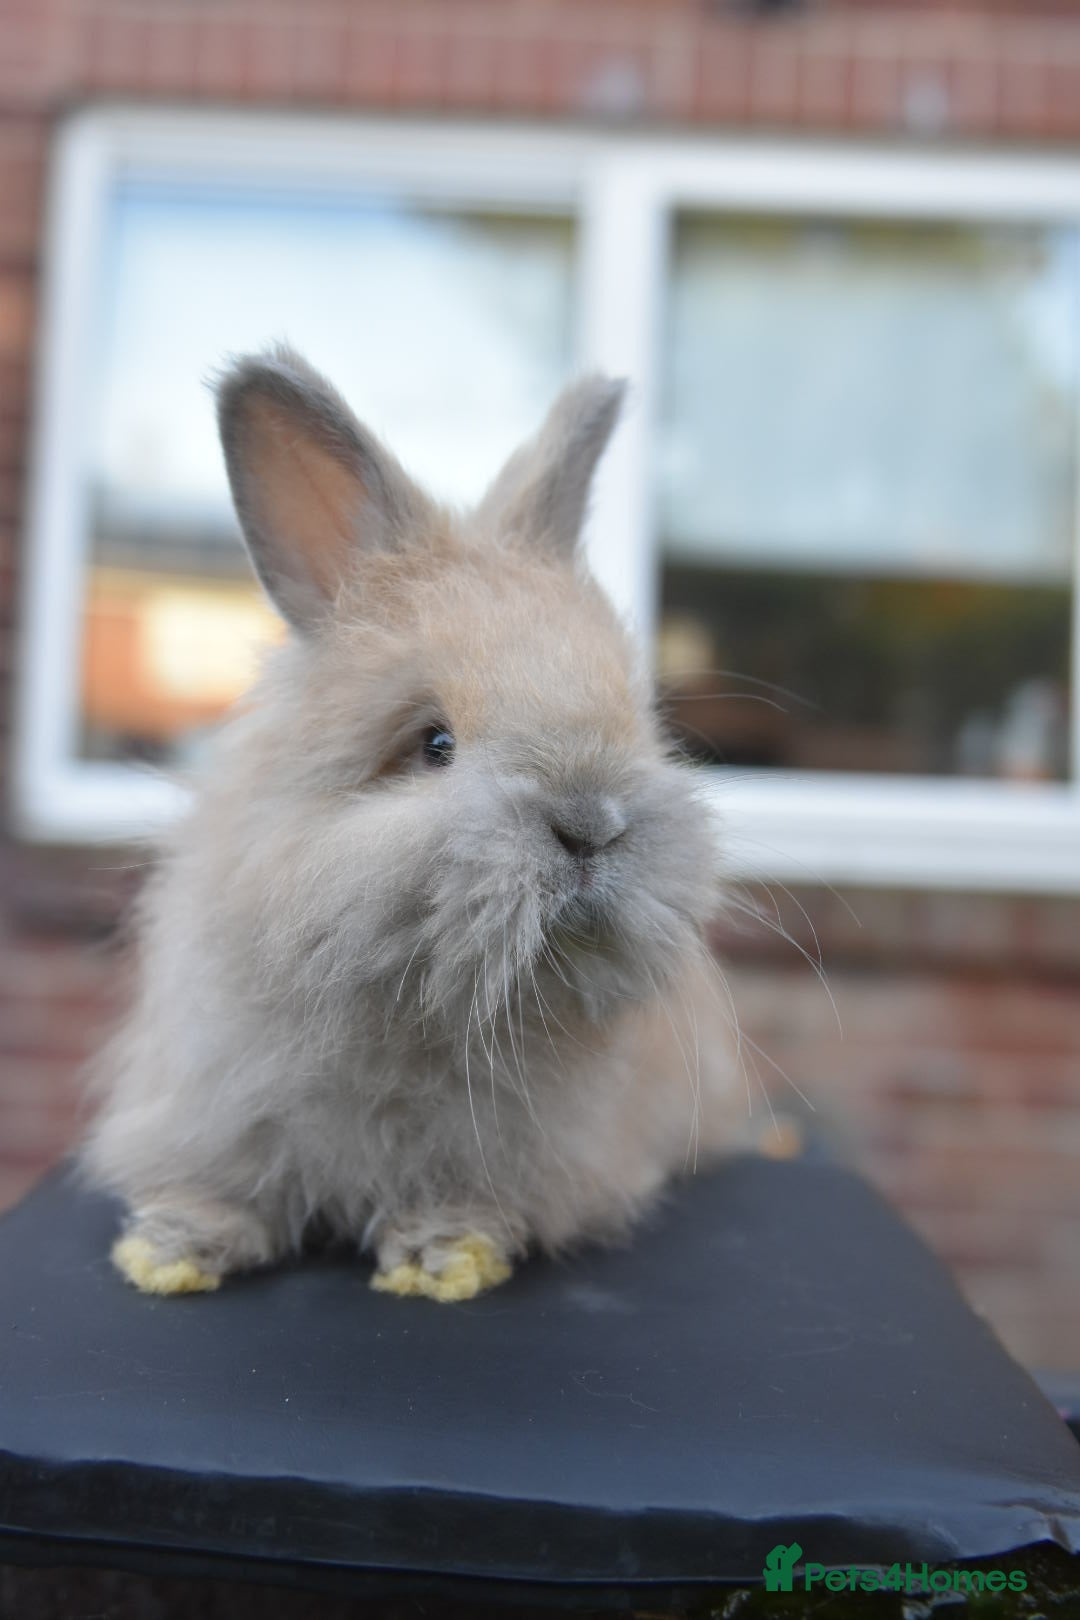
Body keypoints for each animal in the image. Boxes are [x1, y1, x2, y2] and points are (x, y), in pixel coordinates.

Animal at [83, 345, 741, 1303]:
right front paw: (169, 1251)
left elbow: (461, 1201)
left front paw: (443, 1260)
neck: (420, 1012)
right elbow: (219, 1189)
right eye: (434, 745)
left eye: (636, 722)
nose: (591, 824)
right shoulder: (206, 1099)